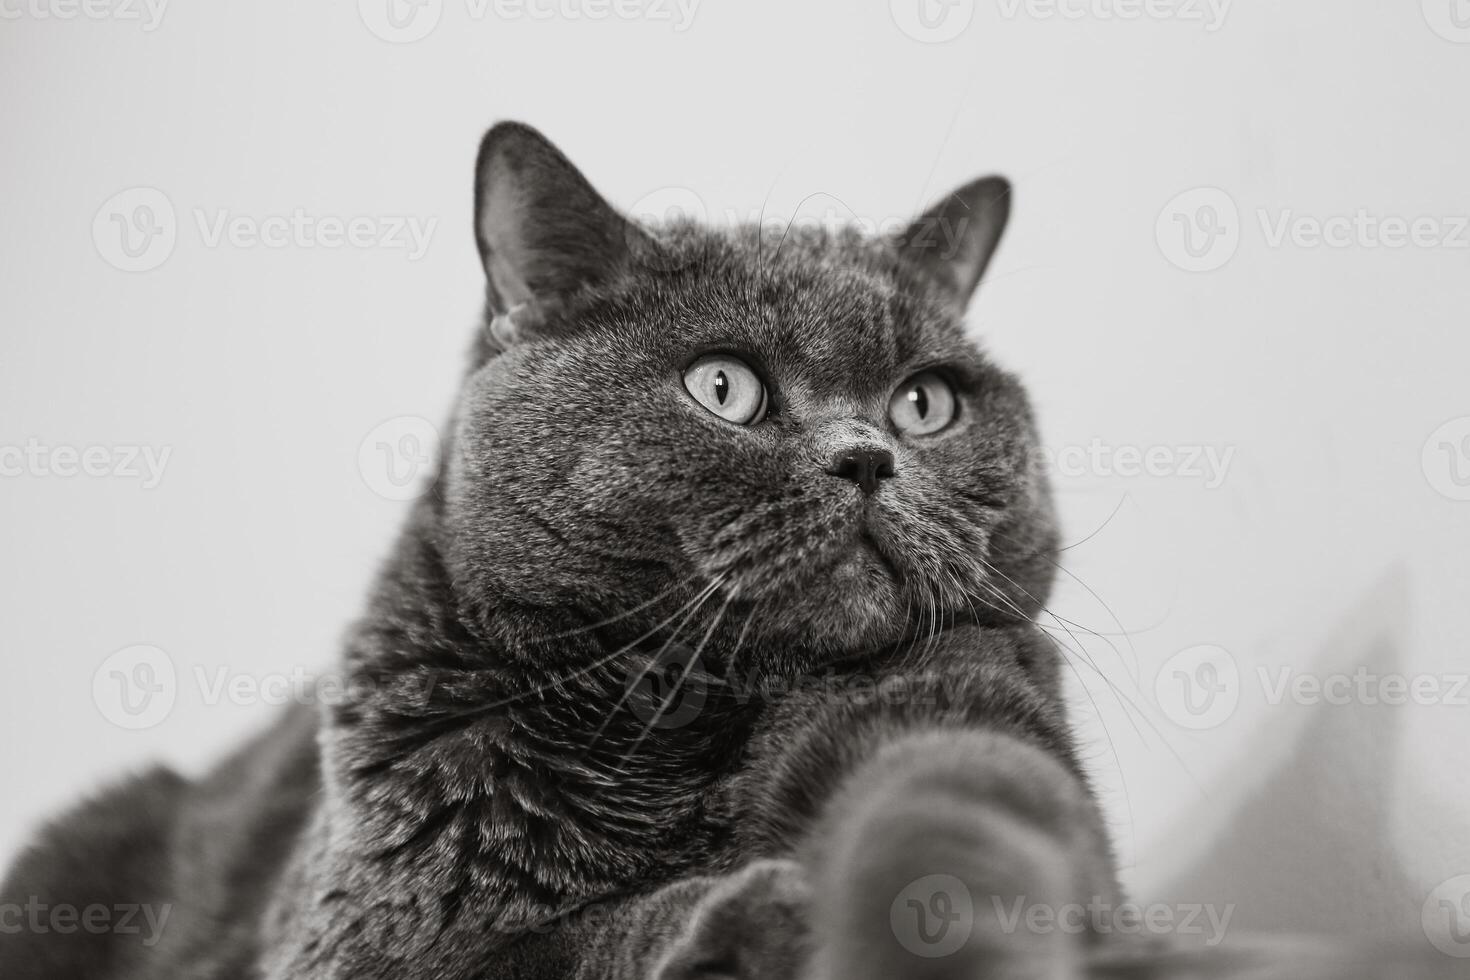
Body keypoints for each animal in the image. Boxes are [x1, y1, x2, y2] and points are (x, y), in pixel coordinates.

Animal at [0, 122, 1446, 980]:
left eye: (926, 401)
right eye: (724, 388)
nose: (866, 457)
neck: (690, 717)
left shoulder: (973, 709)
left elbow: (956, 820)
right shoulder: (363, 942)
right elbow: (552, 949)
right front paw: (746, 909)